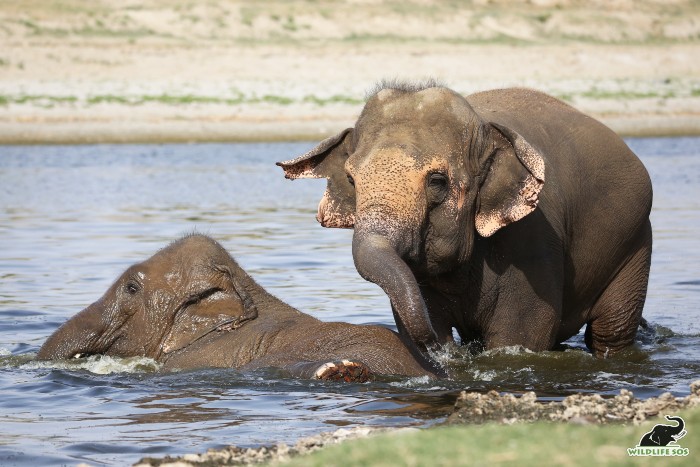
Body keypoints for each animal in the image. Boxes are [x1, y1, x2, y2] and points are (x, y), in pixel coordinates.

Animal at [276, 83, 652, 358]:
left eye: (437, 182)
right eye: (352, 180)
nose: (435, 347)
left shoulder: (533, 240)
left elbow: (522, 338)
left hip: (634, 243)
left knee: (611, 332)